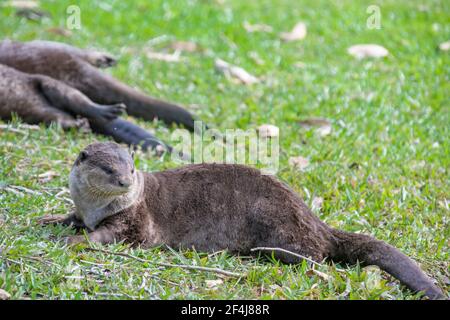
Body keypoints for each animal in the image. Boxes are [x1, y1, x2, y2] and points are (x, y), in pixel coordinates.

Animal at [39, 142, 446, 300]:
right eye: (109, 169)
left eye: (132, 169)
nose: (125, 181)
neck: (97, 208)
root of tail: (315, 220)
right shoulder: (85, 210)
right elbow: (71, 217)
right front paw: (51, 220)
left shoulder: (134, 222)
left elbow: (110, 237)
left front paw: (75, 241)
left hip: (279, 223)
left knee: (316, 256)